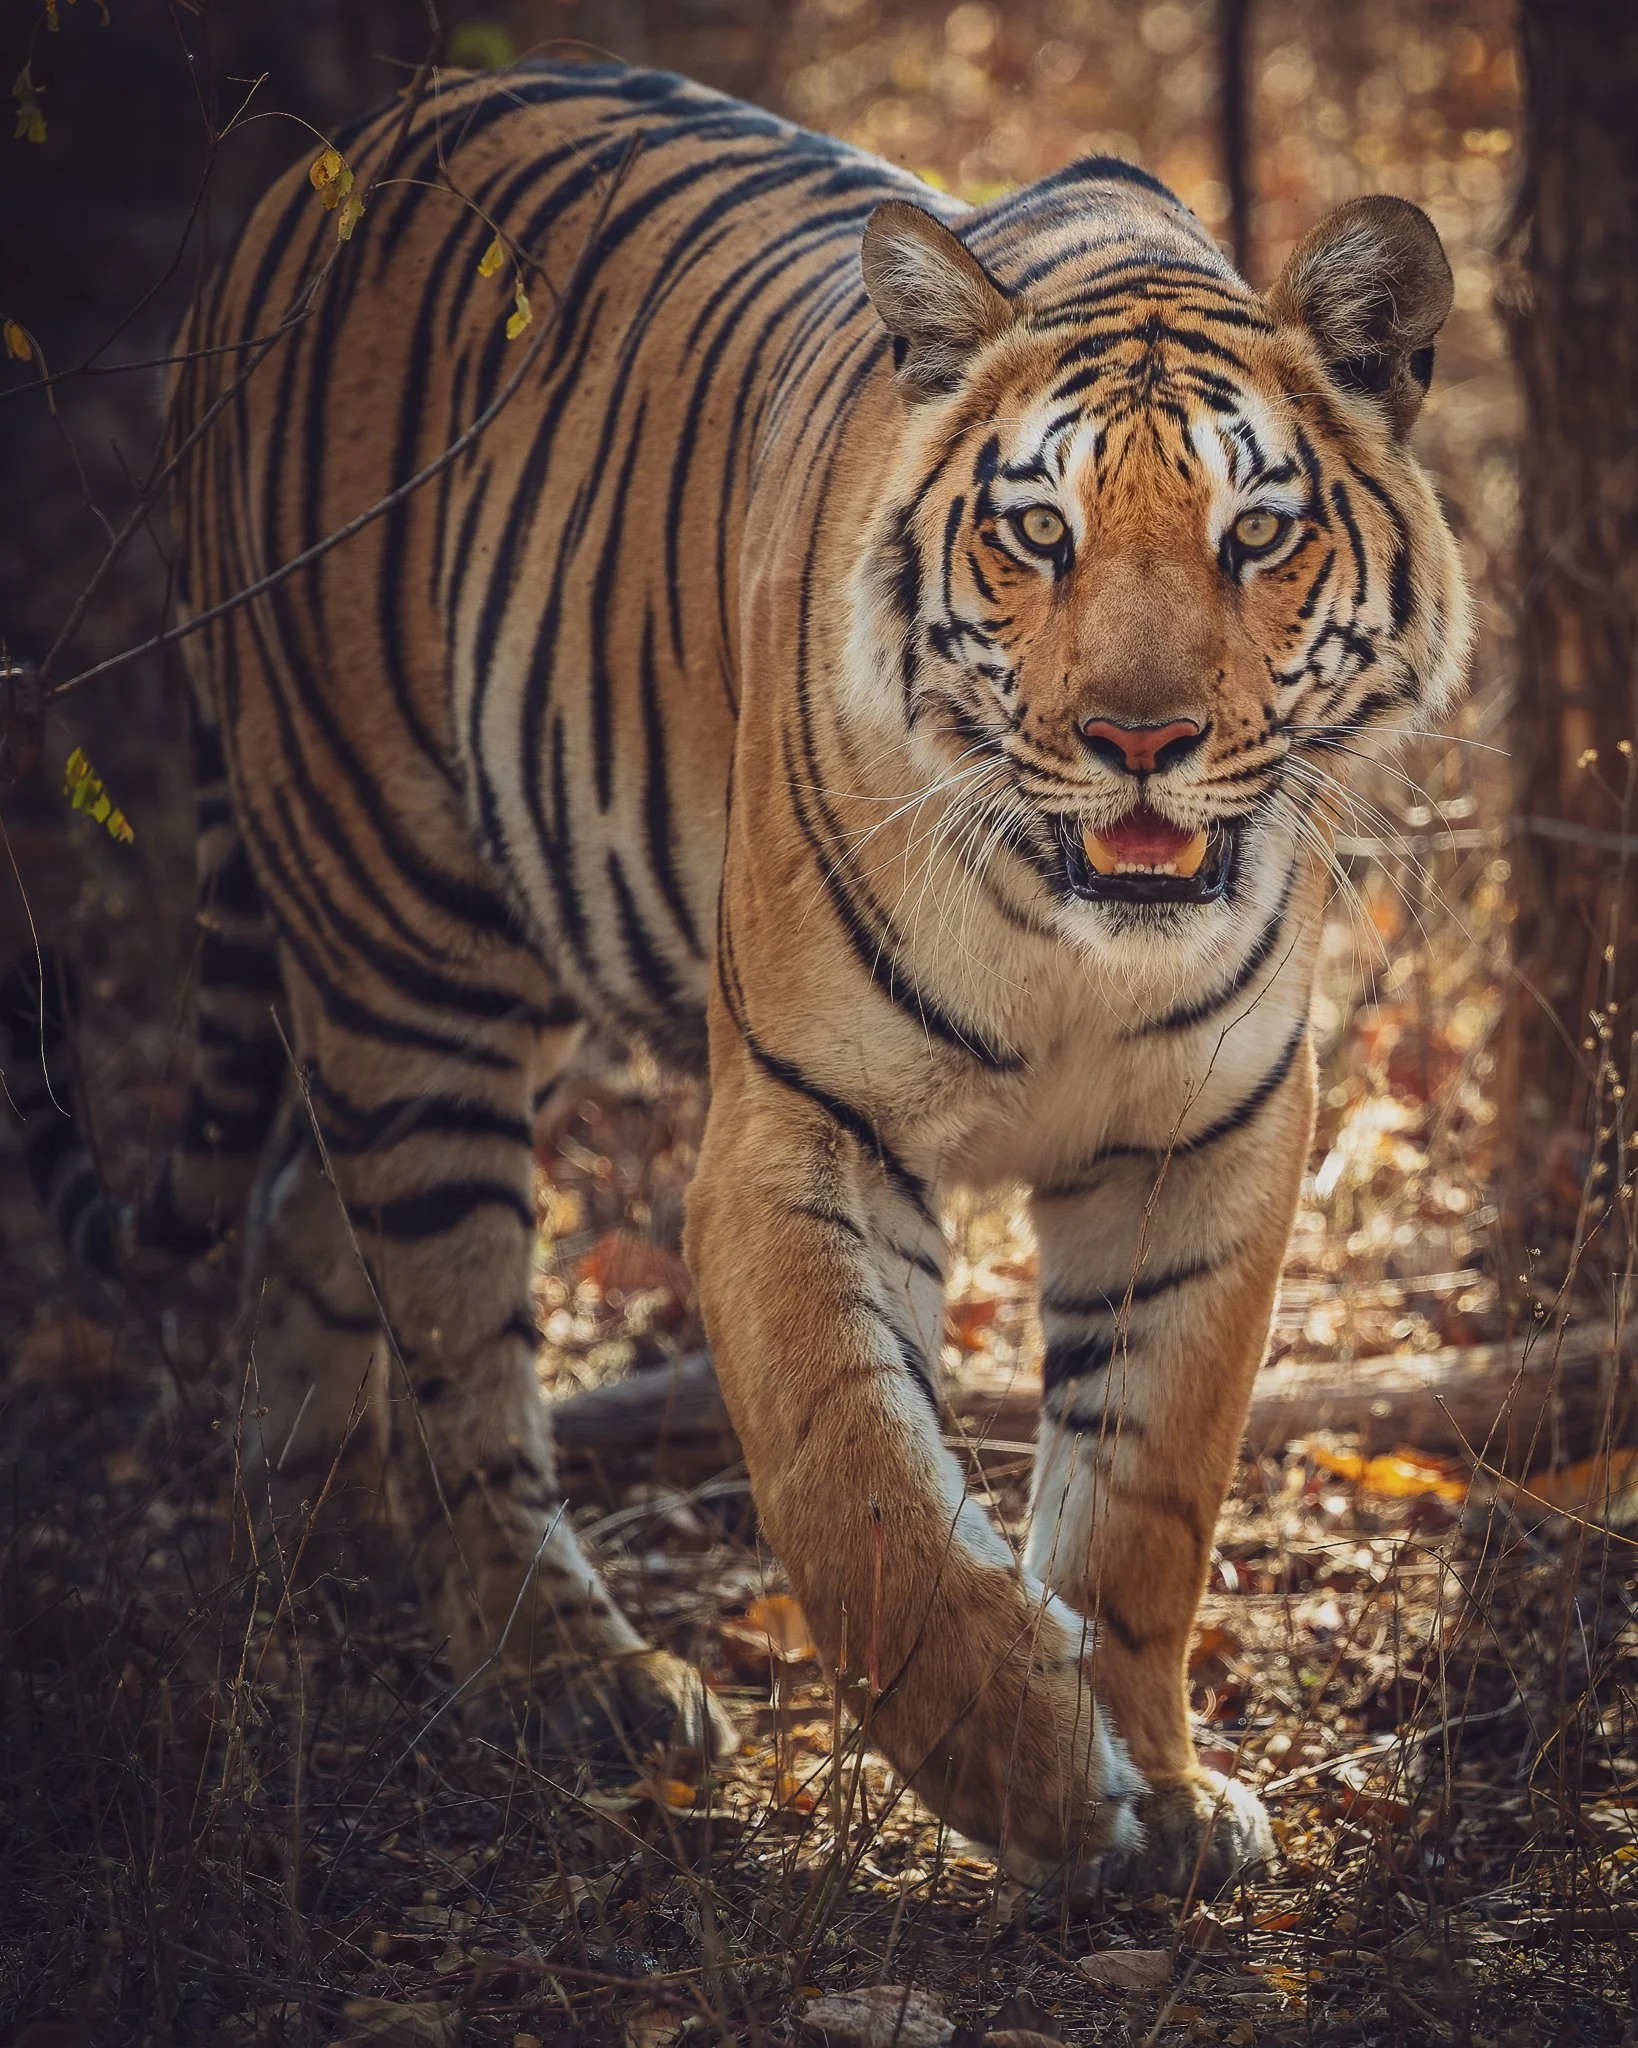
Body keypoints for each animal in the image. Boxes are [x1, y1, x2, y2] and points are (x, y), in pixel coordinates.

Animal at [19, 57, 1470, 1893]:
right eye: (1038, 533)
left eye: (1255, 535)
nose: (1137, 741)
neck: (1072, 935)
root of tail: (311, 172)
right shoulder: (800, 1122)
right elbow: (859, 1492)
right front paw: (1043, 1784)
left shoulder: (1200, 1141)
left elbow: (1145, 1494)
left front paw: (1160, 1788)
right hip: (404, 928)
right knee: (454, 1333)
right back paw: (568, 1678)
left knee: (305, 1218)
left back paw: (313, 1562)